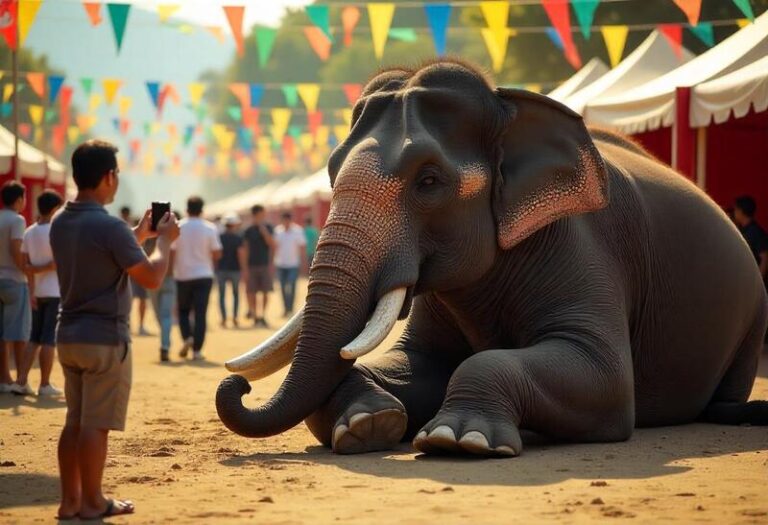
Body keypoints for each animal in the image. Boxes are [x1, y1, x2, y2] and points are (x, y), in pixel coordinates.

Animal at [216, 59, 768, 457]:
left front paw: (459, 440)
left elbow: (606, 379)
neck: (511, 108)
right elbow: (419, 363)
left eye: (429, 181)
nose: (235, 384)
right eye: (331, 172)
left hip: (752, 311)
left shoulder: (581, 246)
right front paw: (369, 425)